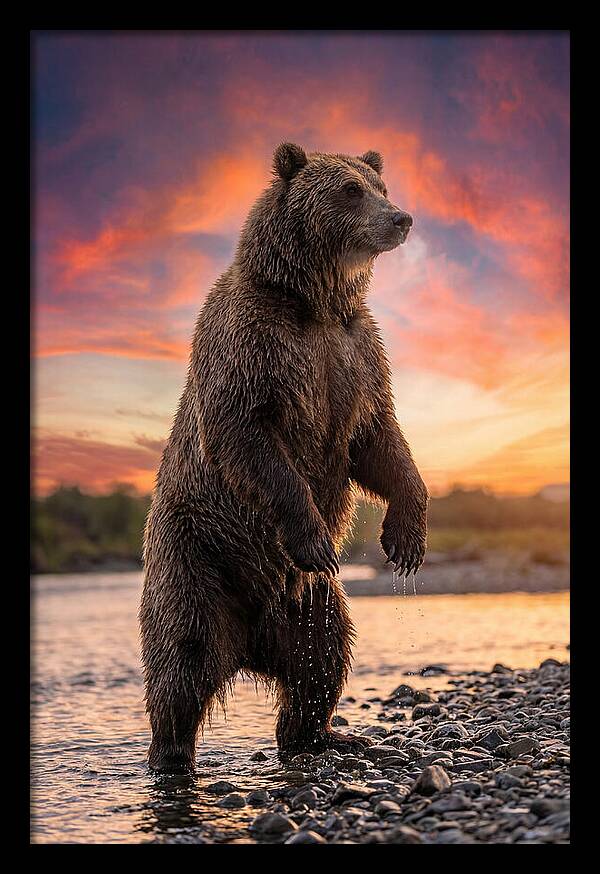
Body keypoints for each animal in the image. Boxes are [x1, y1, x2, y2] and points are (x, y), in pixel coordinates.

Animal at [139, 143, 429, 774]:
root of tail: (249, 643)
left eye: (381, 185)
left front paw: (405, 539)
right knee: (183, 659)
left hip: (309, 604)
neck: (314, 302)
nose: (401, 219)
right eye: (349, 190)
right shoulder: (255, 345)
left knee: (323, 655)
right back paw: (170, 756)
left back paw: (323, 735)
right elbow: (249, 437)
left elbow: (379, 441)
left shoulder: (356, 354)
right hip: (197, 557)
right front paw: (316, 537)